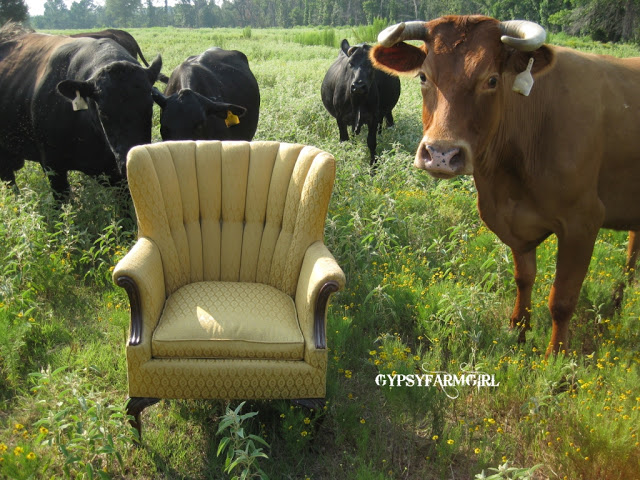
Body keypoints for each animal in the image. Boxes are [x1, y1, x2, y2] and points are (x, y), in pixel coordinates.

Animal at [370, 15, 640, 356]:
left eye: (492, 80)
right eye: (422, 76)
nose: (441, 154)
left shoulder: (583, 221)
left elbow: (562, 299)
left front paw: (557, 359)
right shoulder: (511, 220)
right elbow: (524, 278)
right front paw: (518, 331)